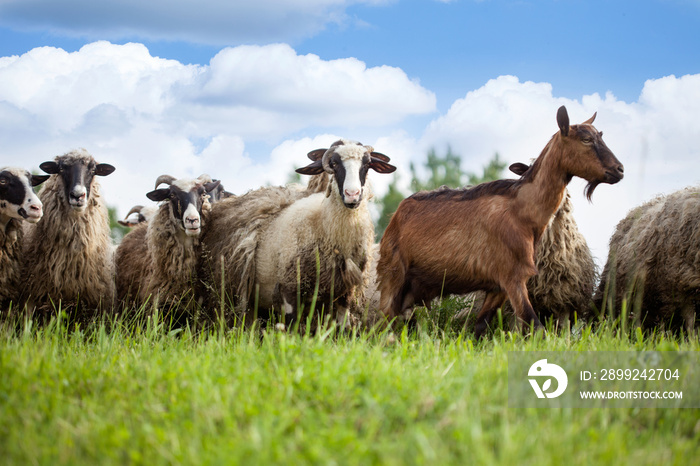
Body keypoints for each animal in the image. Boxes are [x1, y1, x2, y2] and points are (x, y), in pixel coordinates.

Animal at [378, 107, 624, 336]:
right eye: (586, 139)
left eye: (600, 135)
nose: (619, 170)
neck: (522, 210)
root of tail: (397, 215)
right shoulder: (514, 277)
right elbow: (535, 325)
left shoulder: (498, 287)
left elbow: (480, 327)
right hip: (393, 275)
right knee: (383, 324)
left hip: (413, 289)